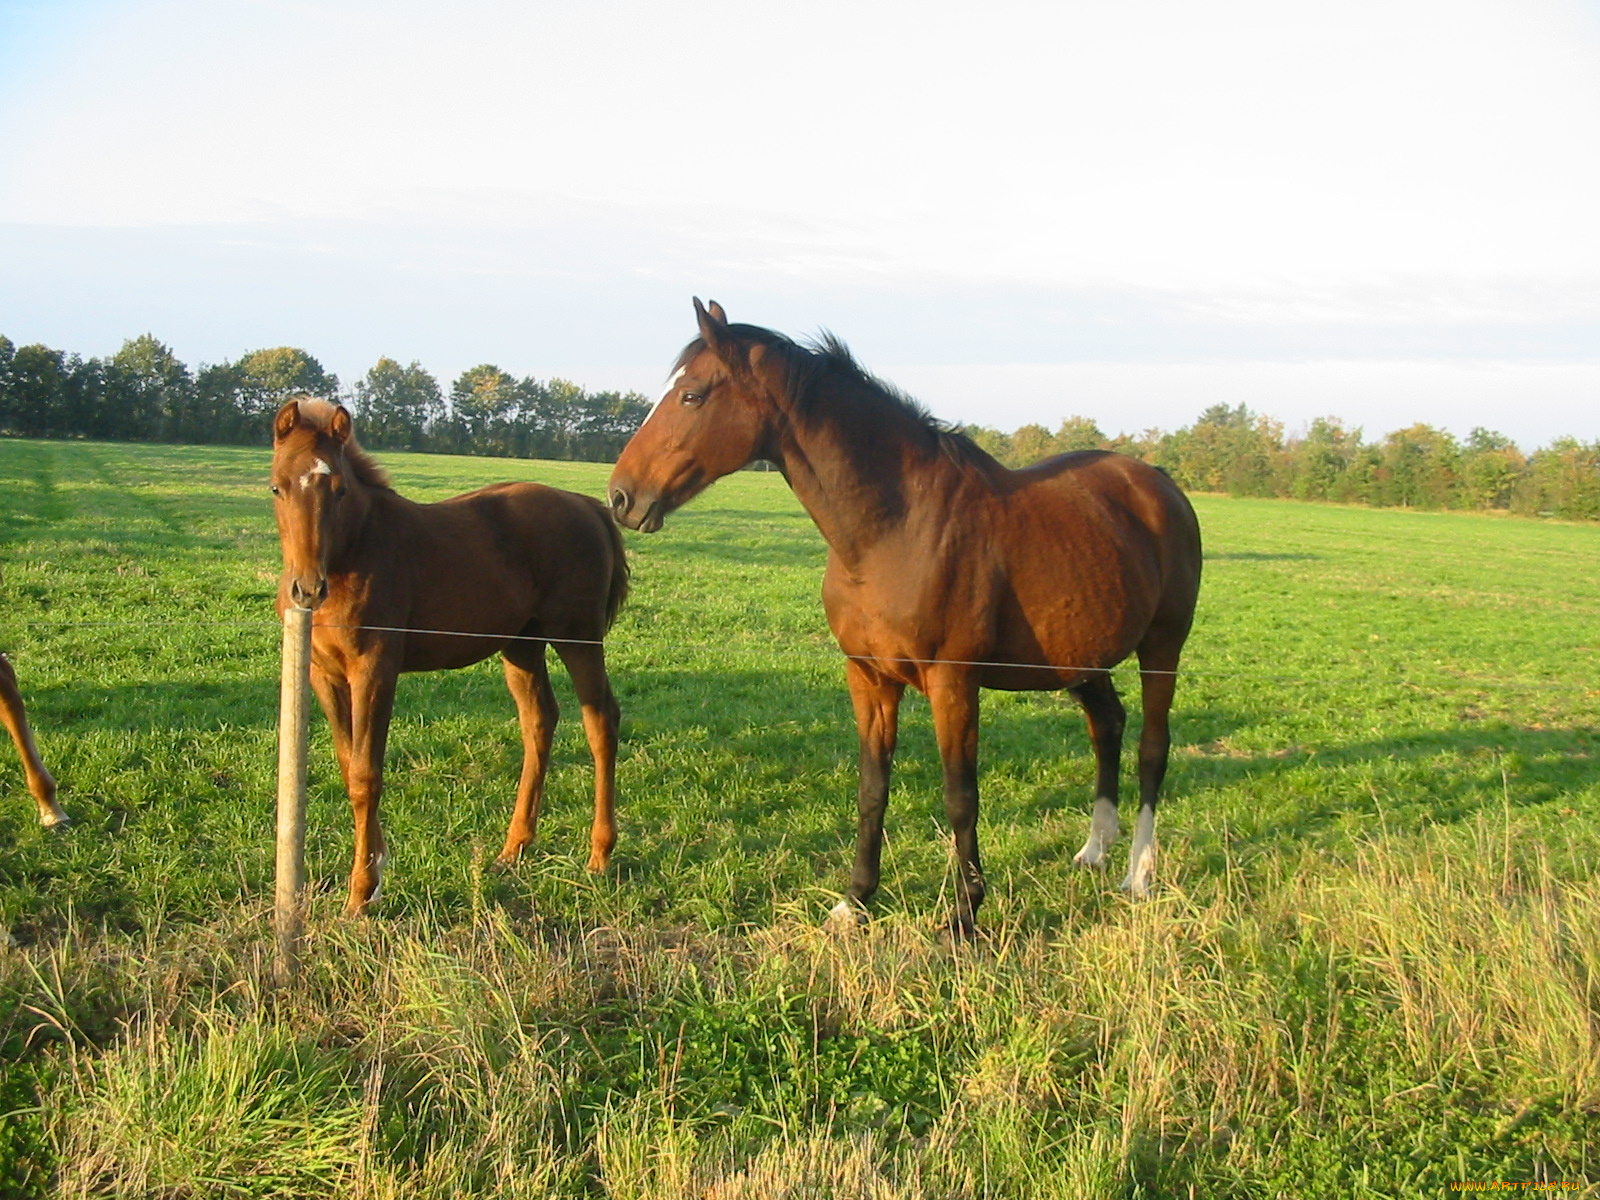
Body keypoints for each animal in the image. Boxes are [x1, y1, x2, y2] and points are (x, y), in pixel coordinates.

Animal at [272, 400, 627, 915]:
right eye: (277, 487)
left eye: (339, 489)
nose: (307, 589)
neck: (355, 551)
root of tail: (588, 506)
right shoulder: (324, 674)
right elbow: (347, 763)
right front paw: (376, 865)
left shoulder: (375, 668)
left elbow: (365, 774)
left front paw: (361, 893)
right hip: (521, 644)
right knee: (540, 721)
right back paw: (513, 848)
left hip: (578, 637)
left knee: (600, 721)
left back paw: (599, 855)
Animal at [611, 302, 1203, 940]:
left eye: (692, 395)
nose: (621, 497)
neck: (895, 527)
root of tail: (1159, 483)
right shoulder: (869, 678)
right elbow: (873, 789)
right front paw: (855, 901)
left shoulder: (953, 682)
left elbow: (960, 796)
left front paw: (964, 914)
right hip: (1081, 658)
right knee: (1106, 726)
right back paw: (1095, 849)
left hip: (1162, 647)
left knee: (1151, 747)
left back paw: (1138, 875)